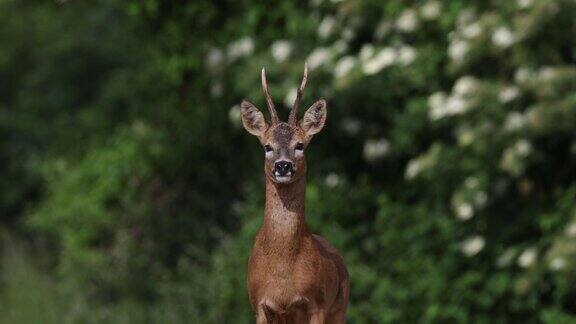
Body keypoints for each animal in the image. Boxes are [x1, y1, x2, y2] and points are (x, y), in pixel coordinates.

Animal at [240, 64, 348, 322]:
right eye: (267, 146)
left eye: (300, 145)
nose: (283, 166)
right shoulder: (258, 304)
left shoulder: (317, 303)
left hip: (340, 307)